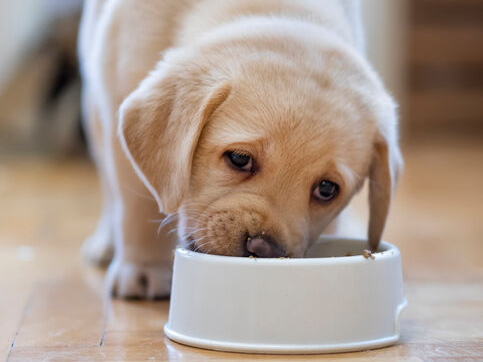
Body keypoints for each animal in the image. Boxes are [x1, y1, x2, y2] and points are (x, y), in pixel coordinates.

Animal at [80, 0, 404, 298]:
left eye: (326, 189)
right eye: (239, 159)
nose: (263, 247)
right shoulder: (117, 86)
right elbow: (137, 202)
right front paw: (144, 267)